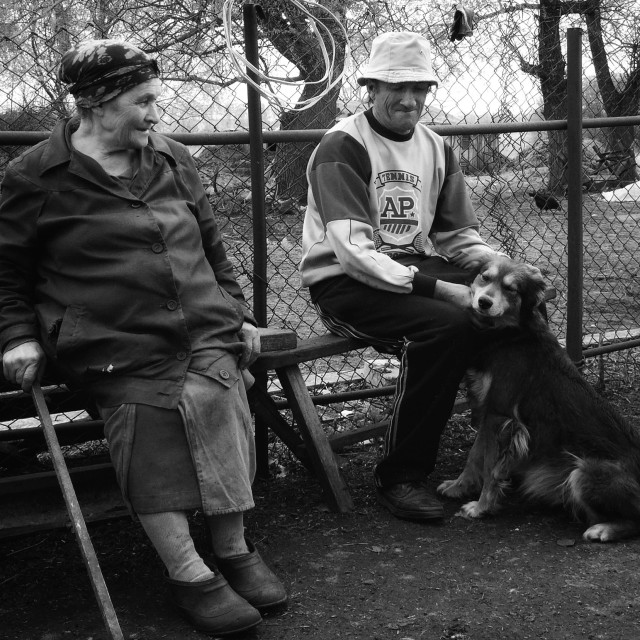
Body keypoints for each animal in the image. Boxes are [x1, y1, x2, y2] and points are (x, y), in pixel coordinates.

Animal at [438, 252, 640, 544]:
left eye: (511, 289)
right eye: (485, 278)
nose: (484, 302)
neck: (511, 332)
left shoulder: (501, 415)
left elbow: (490, 467)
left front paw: (481, 507)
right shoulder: (488, 412)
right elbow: (475, 456)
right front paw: (458, 487)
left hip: (583, 471)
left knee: (635, 520)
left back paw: (603, 529)